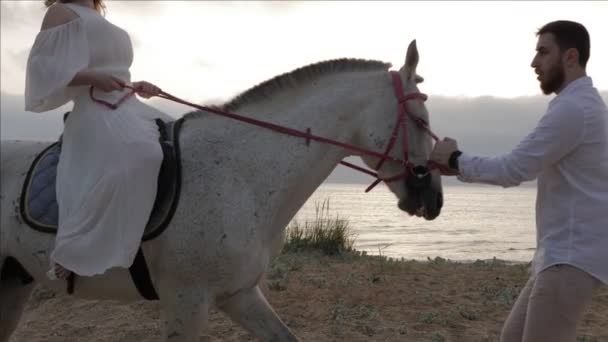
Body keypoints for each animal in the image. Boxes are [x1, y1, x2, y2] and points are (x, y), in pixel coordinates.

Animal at [2, 40, 444, 342]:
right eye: (421, 121)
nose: (434, 201)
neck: (241, 175)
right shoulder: (187, 302)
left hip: (14, 282)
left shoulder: (240, 294)